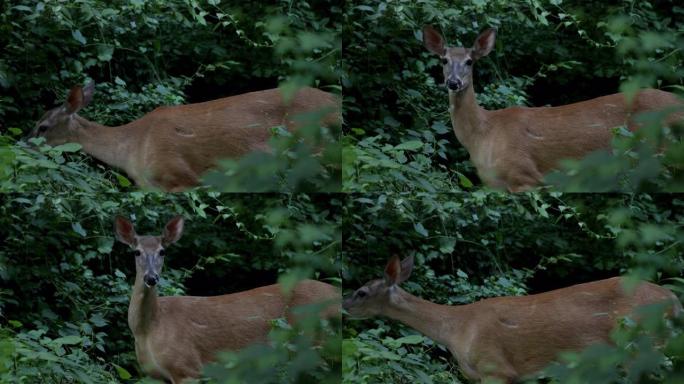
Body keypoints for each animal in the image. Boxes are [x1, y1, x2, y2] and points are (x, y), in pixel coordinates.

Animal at [115, 214, 342, 382]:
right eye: (136, 252)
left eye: (162, 251)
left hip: (319, 342)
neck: (149, 328)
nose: (151, 278)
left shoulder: (188, 367)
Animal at [344, 255, 680, 384]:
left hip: (642, 346)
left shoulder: (496, 367)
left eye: (361, 292)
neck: (457, 328)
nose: (343, 305)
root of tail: (675, 301)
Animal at [424, 25, 680, 190]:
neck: (483, 133)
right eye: (444, 60)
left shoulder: (525, 175)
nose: (453, 82)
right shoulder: (492, 184)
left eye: (469, 61)